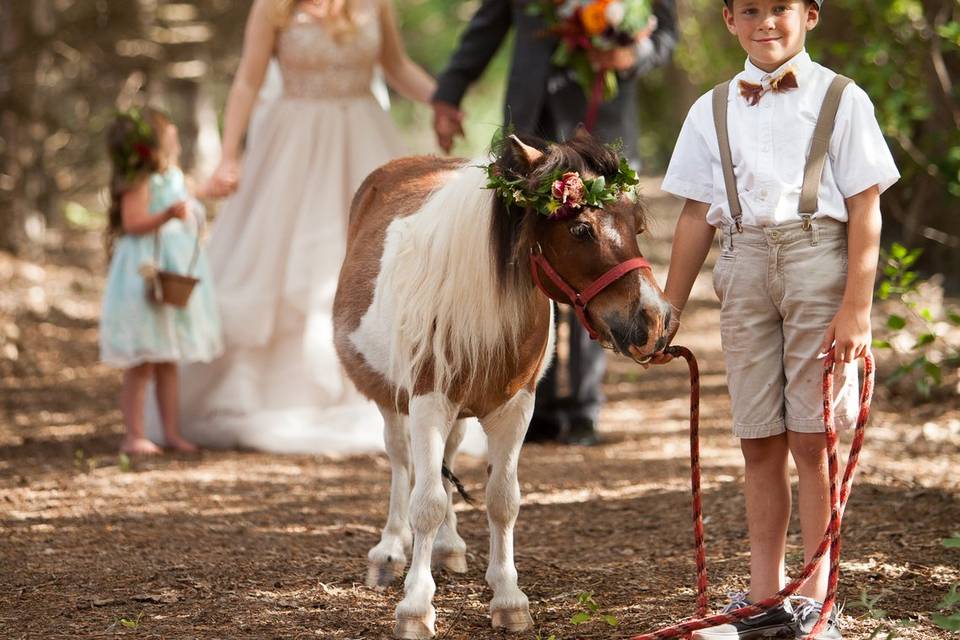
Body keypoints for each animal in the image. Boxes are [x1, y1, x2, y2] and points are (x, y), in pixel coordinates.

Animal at [334, 132, 672, 636]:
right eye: (581, 230)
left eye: (638, 225)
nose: (654, 321)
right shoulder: (428, 400)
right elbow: (426, 502)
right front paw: (415, 606)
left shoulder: (515, 408)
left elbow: (502, 500)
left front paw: (508, 597)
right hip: (393, 400)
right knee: (401, 463)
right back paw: (390, 551)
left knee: (448, 458)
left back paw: (448, 547)